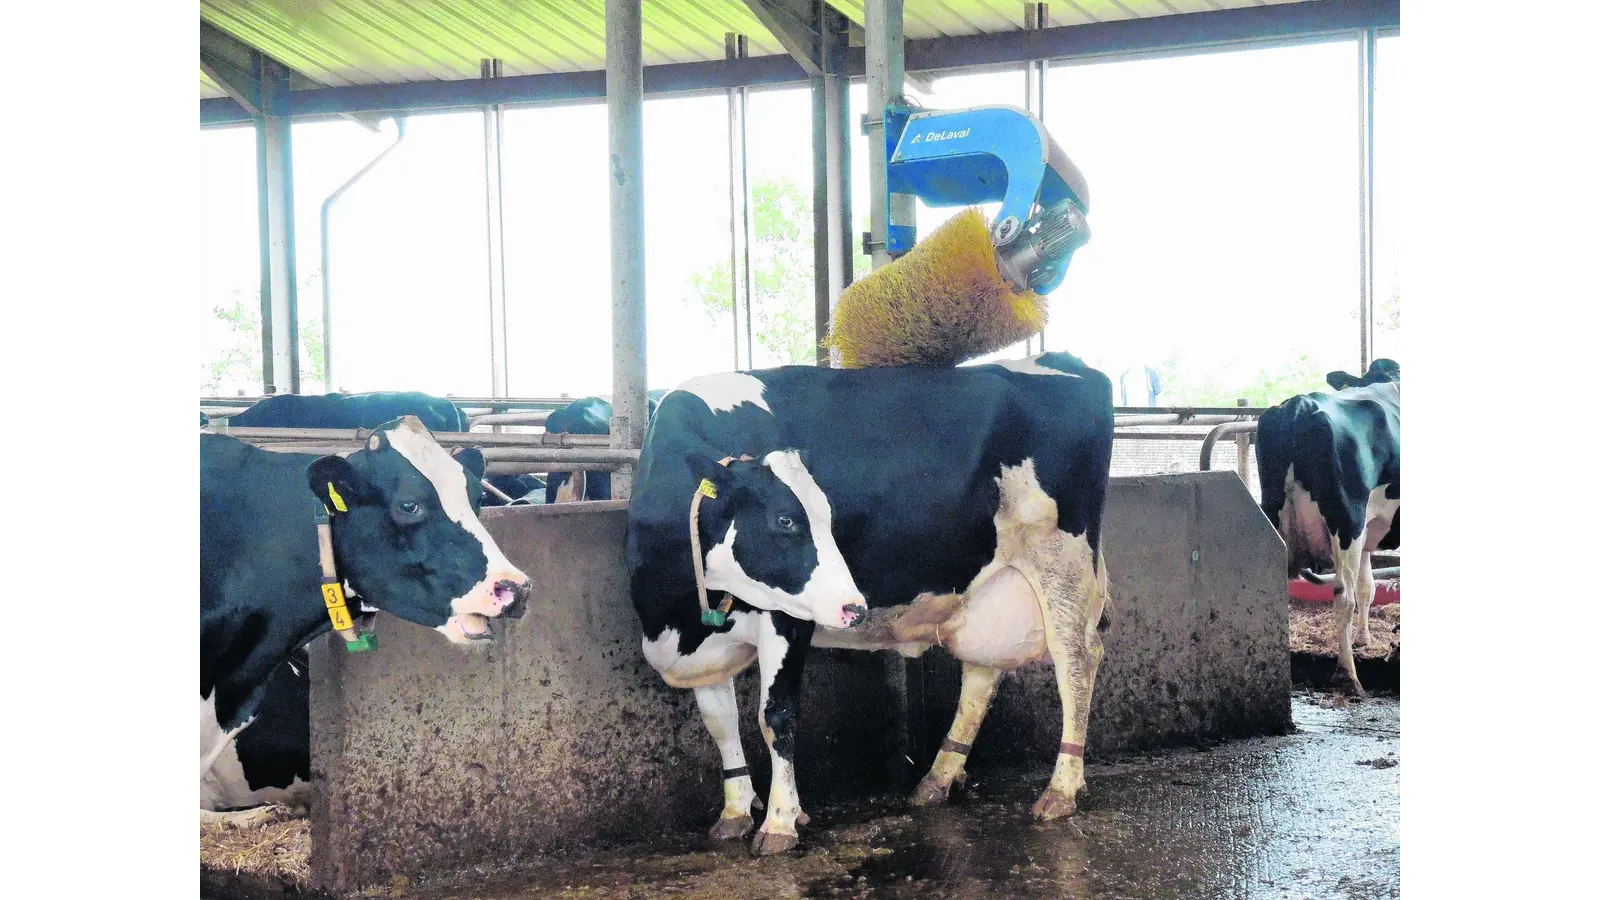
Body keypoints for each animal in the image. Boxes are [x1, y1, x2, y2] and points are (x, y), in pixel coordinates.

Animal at [624, 353, 1113, 851]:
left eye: (827, 517)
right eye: (785, 520)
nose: (854, 607)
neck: (679, 617)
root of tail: (1059, 360)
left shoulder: (787, 618)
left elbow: (775, 715)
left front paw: (780, 820)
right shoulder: (700, 646)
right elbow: (720, 721)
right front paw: (736, 810)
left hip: (1062, 561)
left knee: (1076, 662)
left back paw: (1060, 789)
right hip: (987, 587)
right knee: (982, 674)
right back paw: (936, 779)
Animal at [1254, 357, 1395, 695]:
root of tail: (1299, 405)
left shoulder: (1368, 530)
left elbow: (1368, 586)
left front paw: (1364, 639)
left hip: (1275, 516)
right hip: (1346, 520)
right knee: (1343, 596)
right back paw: (1348, 677)